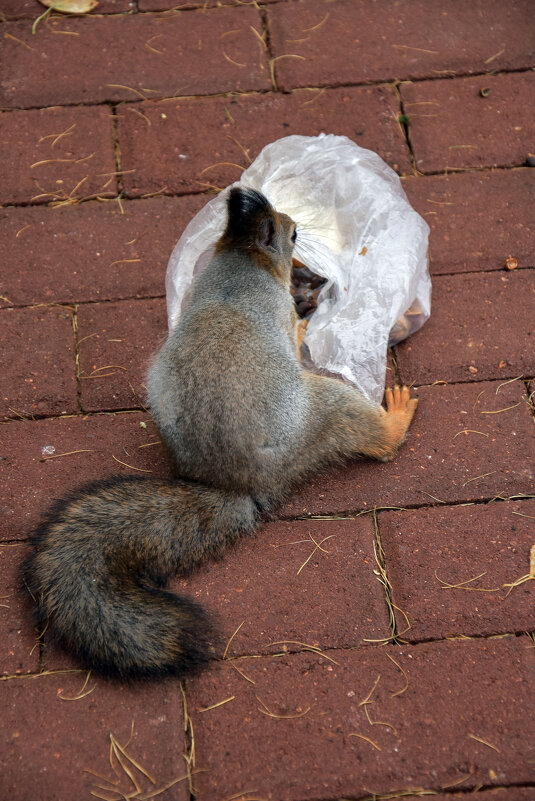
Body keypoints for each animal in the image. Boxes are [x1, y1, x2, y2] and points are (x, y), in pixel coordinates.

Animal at [25, 189, 418, 680]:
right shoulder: (277, 309)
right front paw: (304, 325)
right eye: (291, 233)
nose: (301, 241)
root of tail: (238, 485)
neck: (238, 259)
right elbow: (291, 331)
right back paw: (397, 415)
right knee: (377, 441)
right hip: (328, 409)